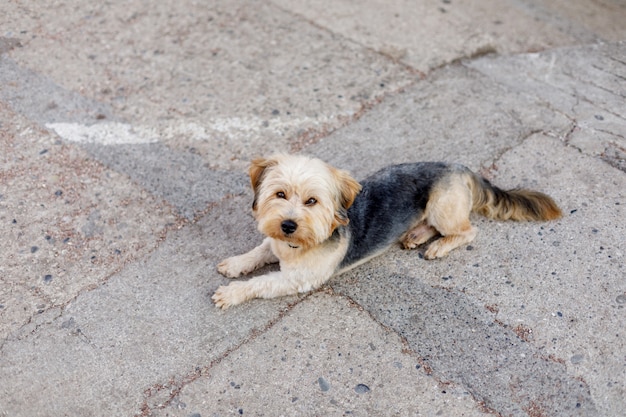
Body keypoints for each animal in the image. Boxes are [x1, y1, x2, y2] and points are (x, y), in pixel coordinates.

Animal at [211, 154, 560, 308]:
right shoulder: (275, 243)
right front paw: (237, 263)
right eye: (280, 194)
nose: (288, 225)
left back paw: (439, 245)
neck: (297, 245)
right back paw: (416, 234)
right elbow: (259, 251)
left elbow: (261, 282)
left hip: (443, 207)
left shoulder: (298, 279)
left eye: (312, 201)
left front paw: (232, 293)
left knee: (468, 231)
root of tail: (460, 167)